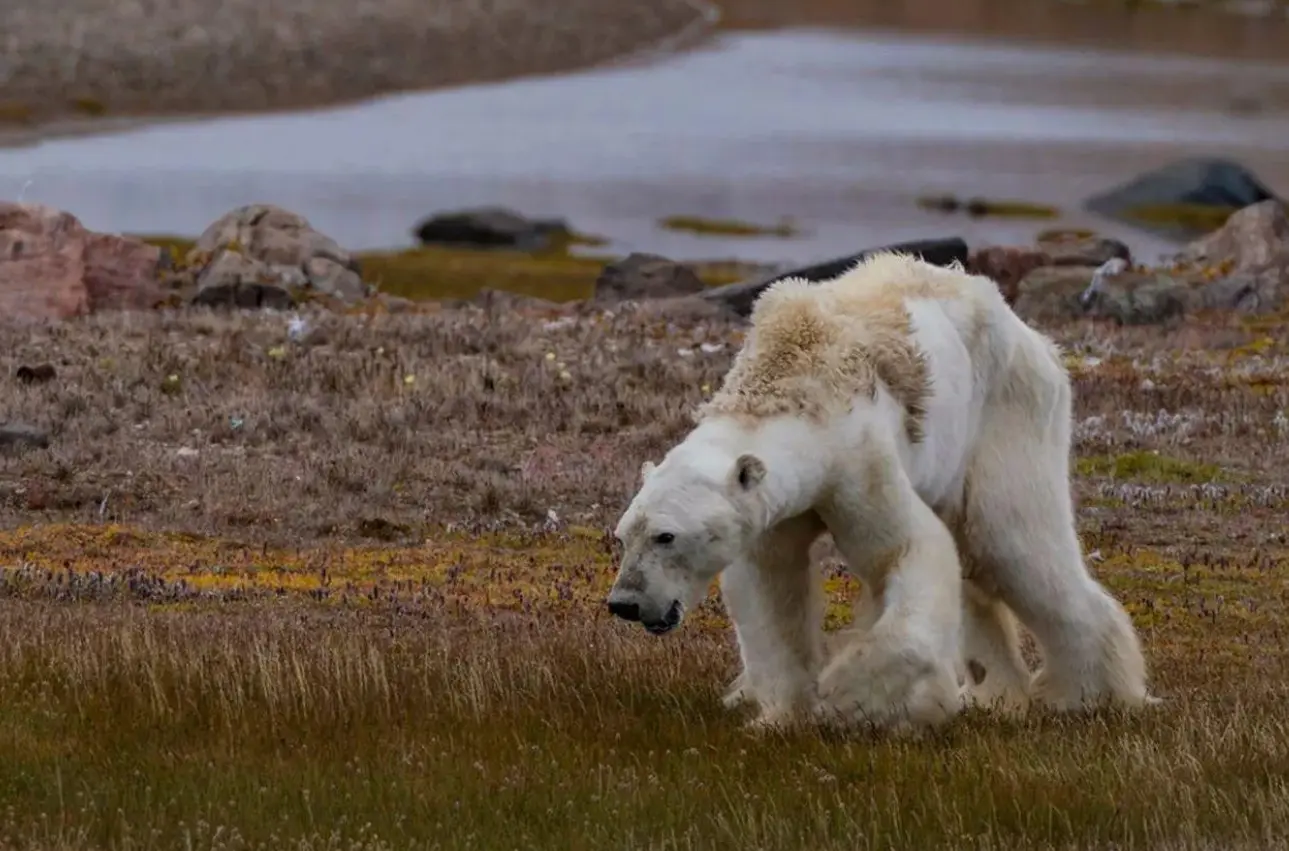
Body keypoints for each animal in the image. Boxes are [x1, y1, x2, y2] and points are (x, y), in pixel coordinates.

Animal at [608, 251, 1154, 732]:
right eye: (623, 535)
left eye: (666, 536)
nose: (624, 603)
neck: (791, 381)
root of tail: (1035, 338)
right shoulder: (774, 509)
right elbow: (771, 586)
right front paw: (781, 715)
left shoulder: (858, 459)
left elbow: (907, 550)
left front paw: (851, 695)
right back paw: (994, 694)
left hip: (1006, 413)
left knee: (1012, 543)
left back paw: (1087, 694)